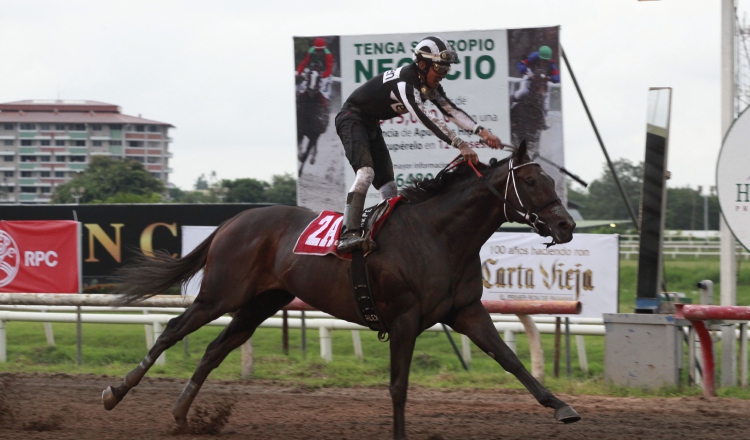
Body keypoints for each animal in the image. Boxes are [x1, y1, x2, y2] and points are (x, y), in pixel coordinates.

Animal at [101, 143, 580, 438]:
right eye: (533, 183)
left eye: (551, 181)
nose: (566, 225)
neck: (438, 235)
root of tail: (232, 221)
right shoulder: (404, 318)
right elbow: (399, 385)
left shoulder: (465, 311)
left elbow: (511, 361)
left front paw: (561, 406)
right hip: (222, 294)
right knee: (172, 330)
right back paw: (116, 392)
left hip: (261, 302)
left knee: (216, 348)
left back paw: (183, 414)